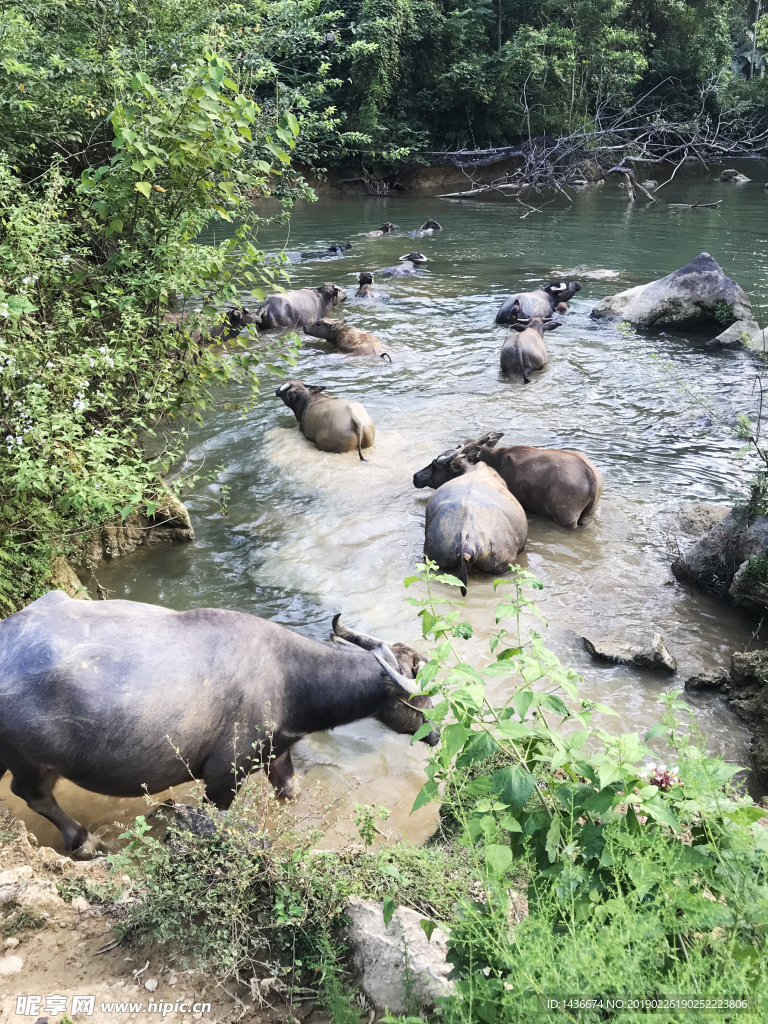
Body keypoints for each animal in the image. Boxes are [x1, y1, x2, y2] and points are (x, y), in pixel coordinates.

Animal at [0, 593, 436, 856]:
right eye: (423, 687)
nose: (433, 734)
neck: (289, 679)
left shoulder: (276, 752)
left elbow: (289, 791)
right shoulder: (224, 775)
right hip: (30, 761)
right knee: (33, 795)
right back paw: (84, 840)